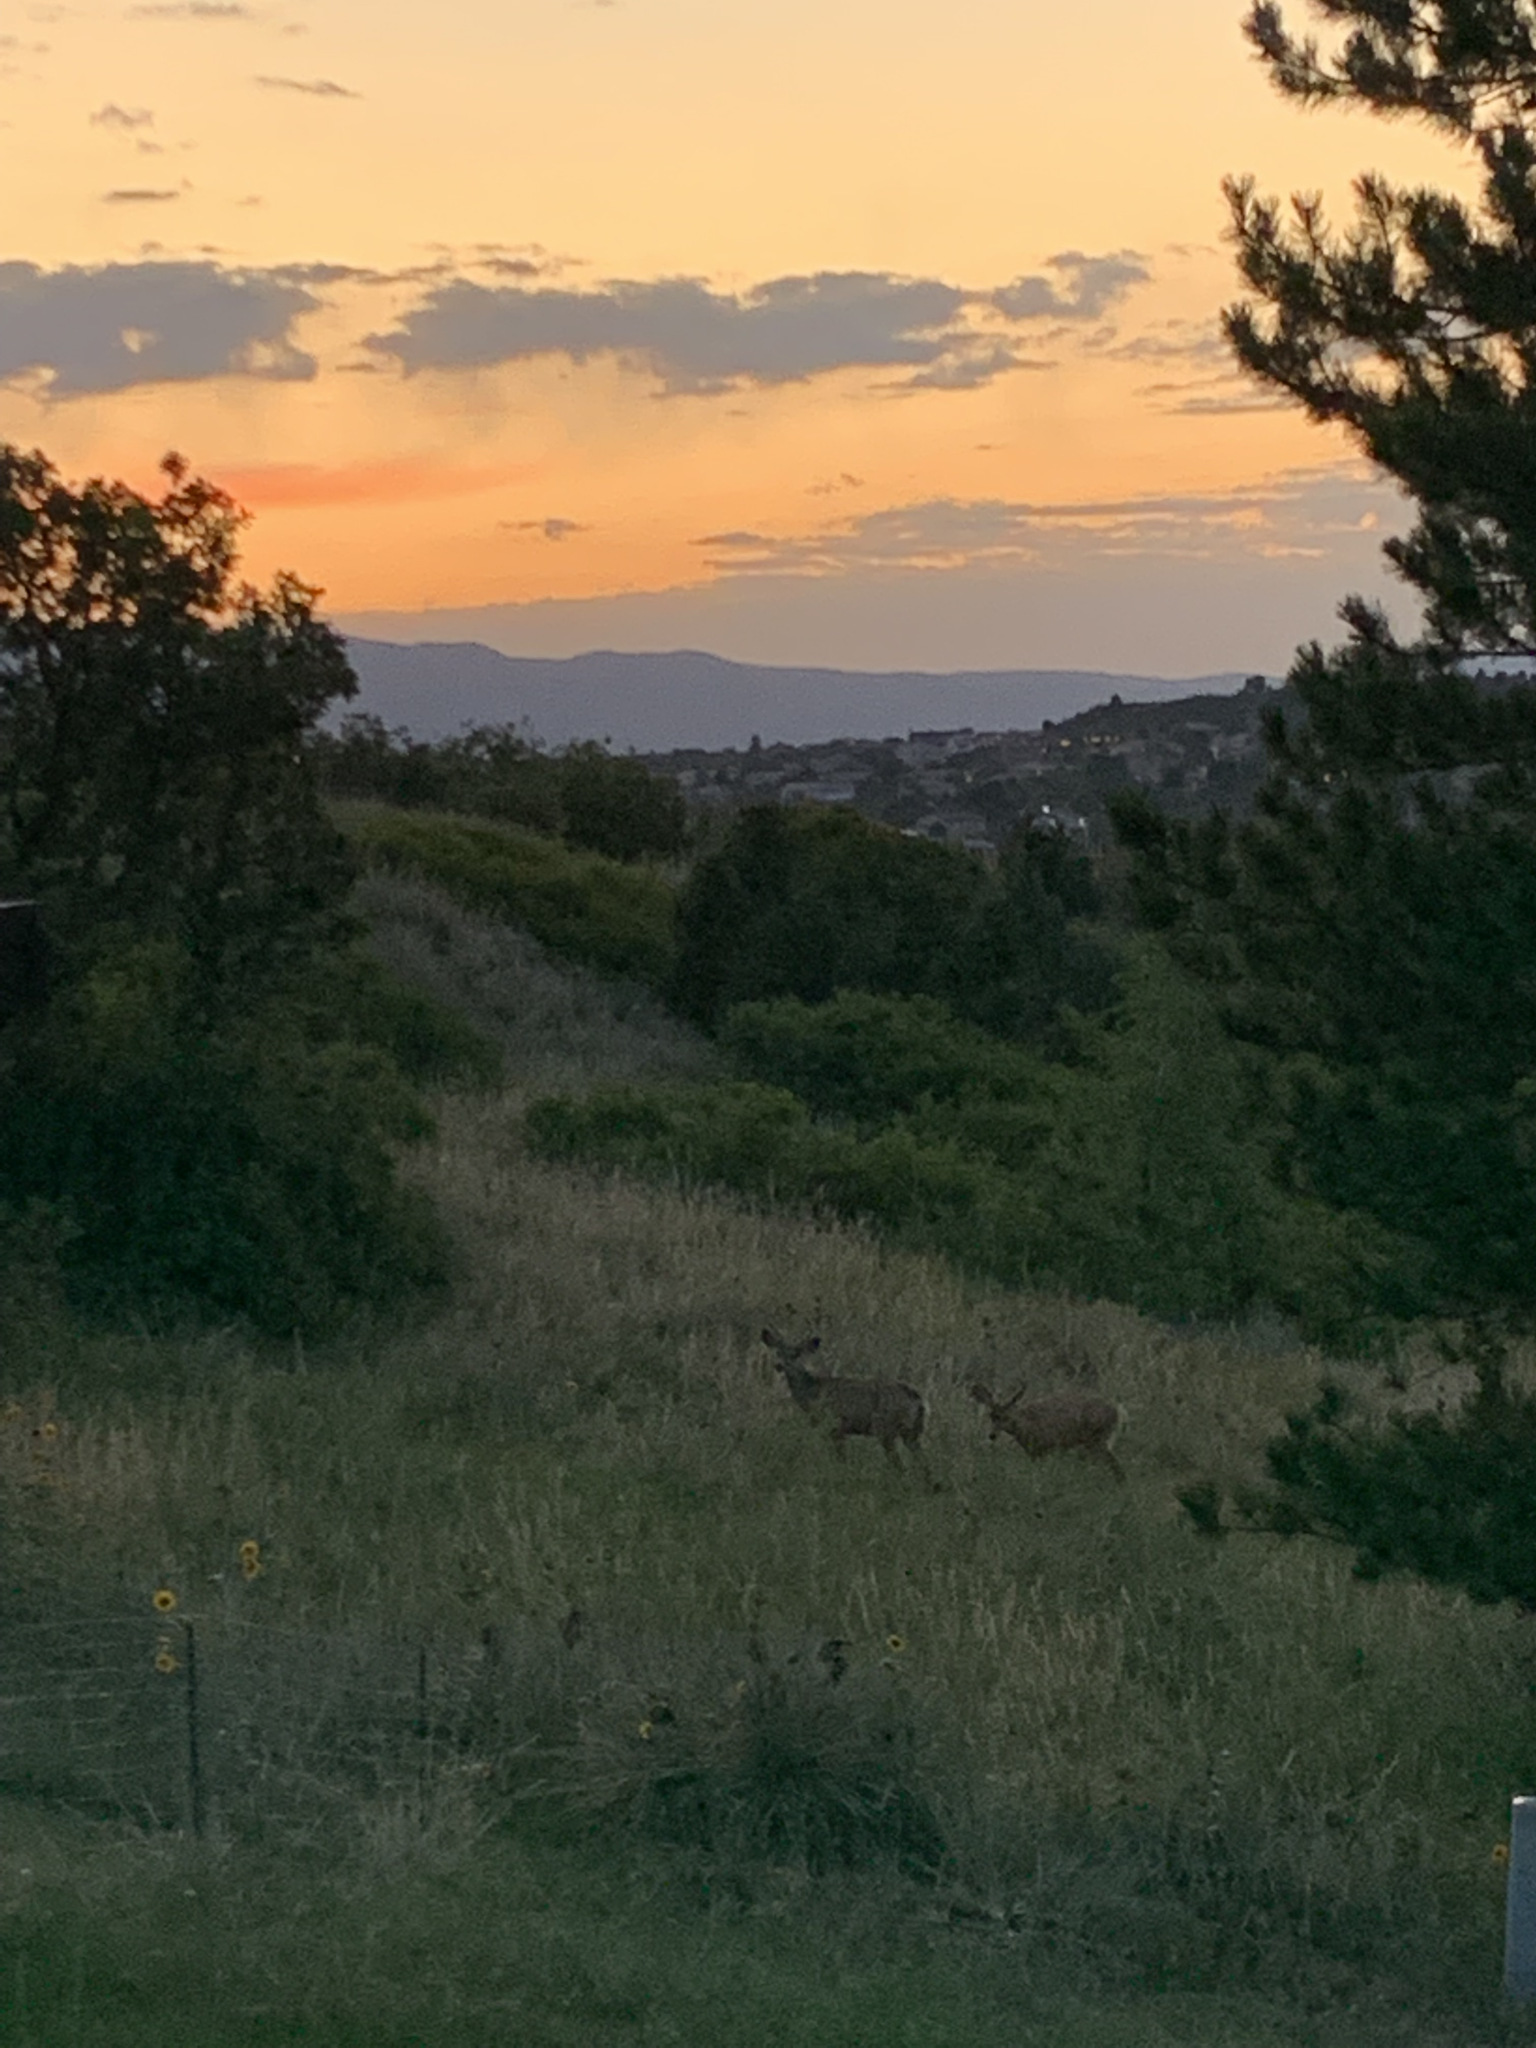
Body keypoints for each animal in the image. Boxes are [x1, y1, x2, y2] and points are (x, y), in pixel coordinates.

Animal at [765, 1327, 933, 1474]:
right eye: (778, 1352)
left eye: (796, 1354)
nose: (779, 1365)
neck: (813, 1392)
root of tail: (918, 1400)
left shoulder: (835, 1427)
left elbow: (841, 1459)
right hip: (912, 1433)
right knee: (924, 1465)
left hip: (886, 1429)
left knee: (900, 1465)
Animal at [974, 1384, 1130, 1482]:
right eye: (991, 1416)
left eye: (1006, 1416)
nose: (992, 1435)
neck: (1026, 1423)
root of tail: (1119, 1412)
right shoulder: (1034, 1452)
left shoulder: (1045, 1447)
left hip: (1097, 1439)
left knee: (1114, 1464)